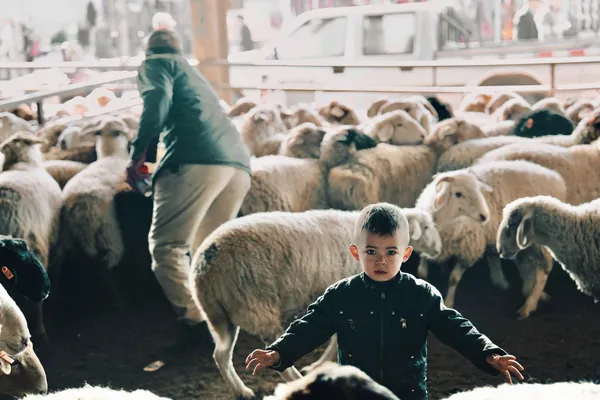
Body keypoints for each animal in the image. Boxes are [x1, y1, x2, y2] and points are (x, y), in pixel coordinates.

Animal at [418, 159, 568, 318]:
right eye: (458, 194)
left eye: (478, 191)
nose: (485, 216)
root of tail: (556, 179)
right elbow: (422, 272)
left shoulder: (470, 249)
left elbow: (454, 278)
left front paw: (448, 302)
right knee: (527, 263)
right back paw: (530, 290)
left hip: (538, 241)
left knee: (543, 269)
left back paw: (530, 303)